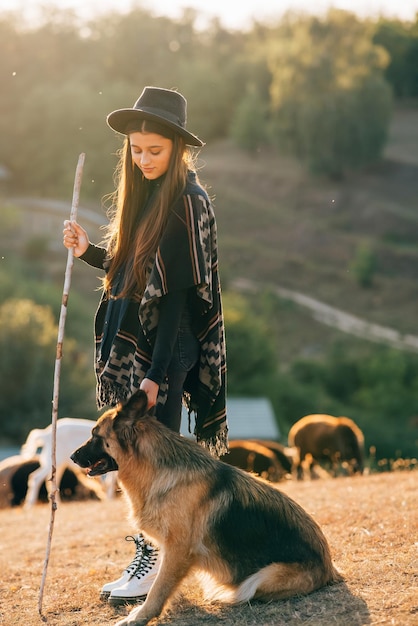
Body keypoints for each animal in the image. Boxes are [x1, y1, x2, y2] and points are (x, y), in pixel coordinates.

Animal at [70, 390, 342, 624]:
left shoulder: (178, 549)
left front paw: (140, 616)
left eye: (95, 435)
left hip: (261, 577)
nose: (72, 457)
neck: (155, 468)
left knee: (247, 591)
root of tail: (329, 568)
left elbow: (158, 588)